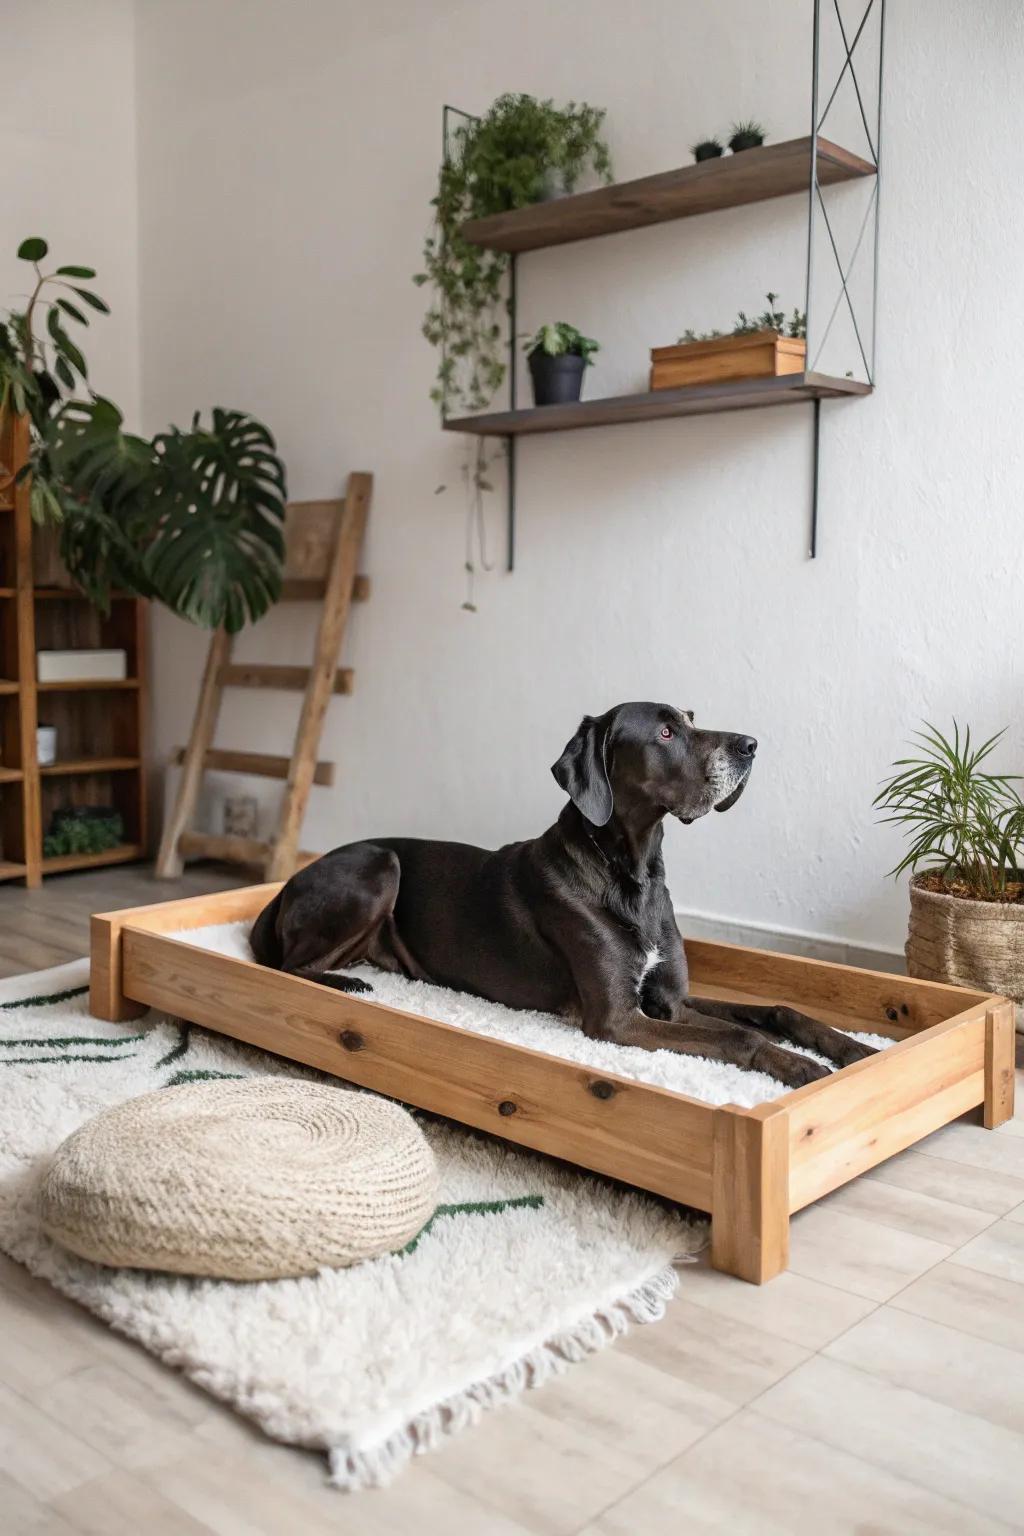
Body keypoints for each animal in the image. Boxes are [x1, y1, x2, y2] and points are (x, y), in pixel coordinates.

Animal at [250, 703, 872, 1087]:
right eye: (666, 732)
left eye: (692, 718)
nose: (750, 745)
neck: (633, 872)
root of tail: (284, 888)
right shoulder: (617, 1020)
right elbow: (739, 1037)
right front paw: (803, 1070)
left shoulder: (669, 1001)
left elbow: (772, 1010)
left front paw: (852, 1049)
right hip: (380, 863)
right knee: (286, 966)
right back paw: (347, 983)